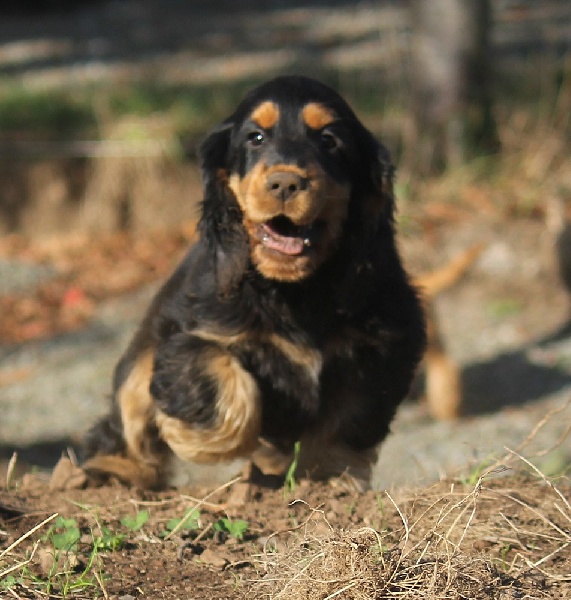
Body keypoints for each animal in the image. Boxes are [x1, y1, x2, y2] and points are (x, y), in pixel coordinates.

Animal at [82, 76, 426, 489]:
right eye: (255, 138)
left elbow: (348, 421)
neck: (293, 289)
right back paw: (115, 470)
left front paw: (329, 480)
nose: (284, 183)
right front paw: (201, 442)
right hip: (142, 353)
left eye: (329, 139)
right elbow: (218, 378)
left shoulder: (383, 348)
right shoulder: (195, 331)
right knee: (126, 414)